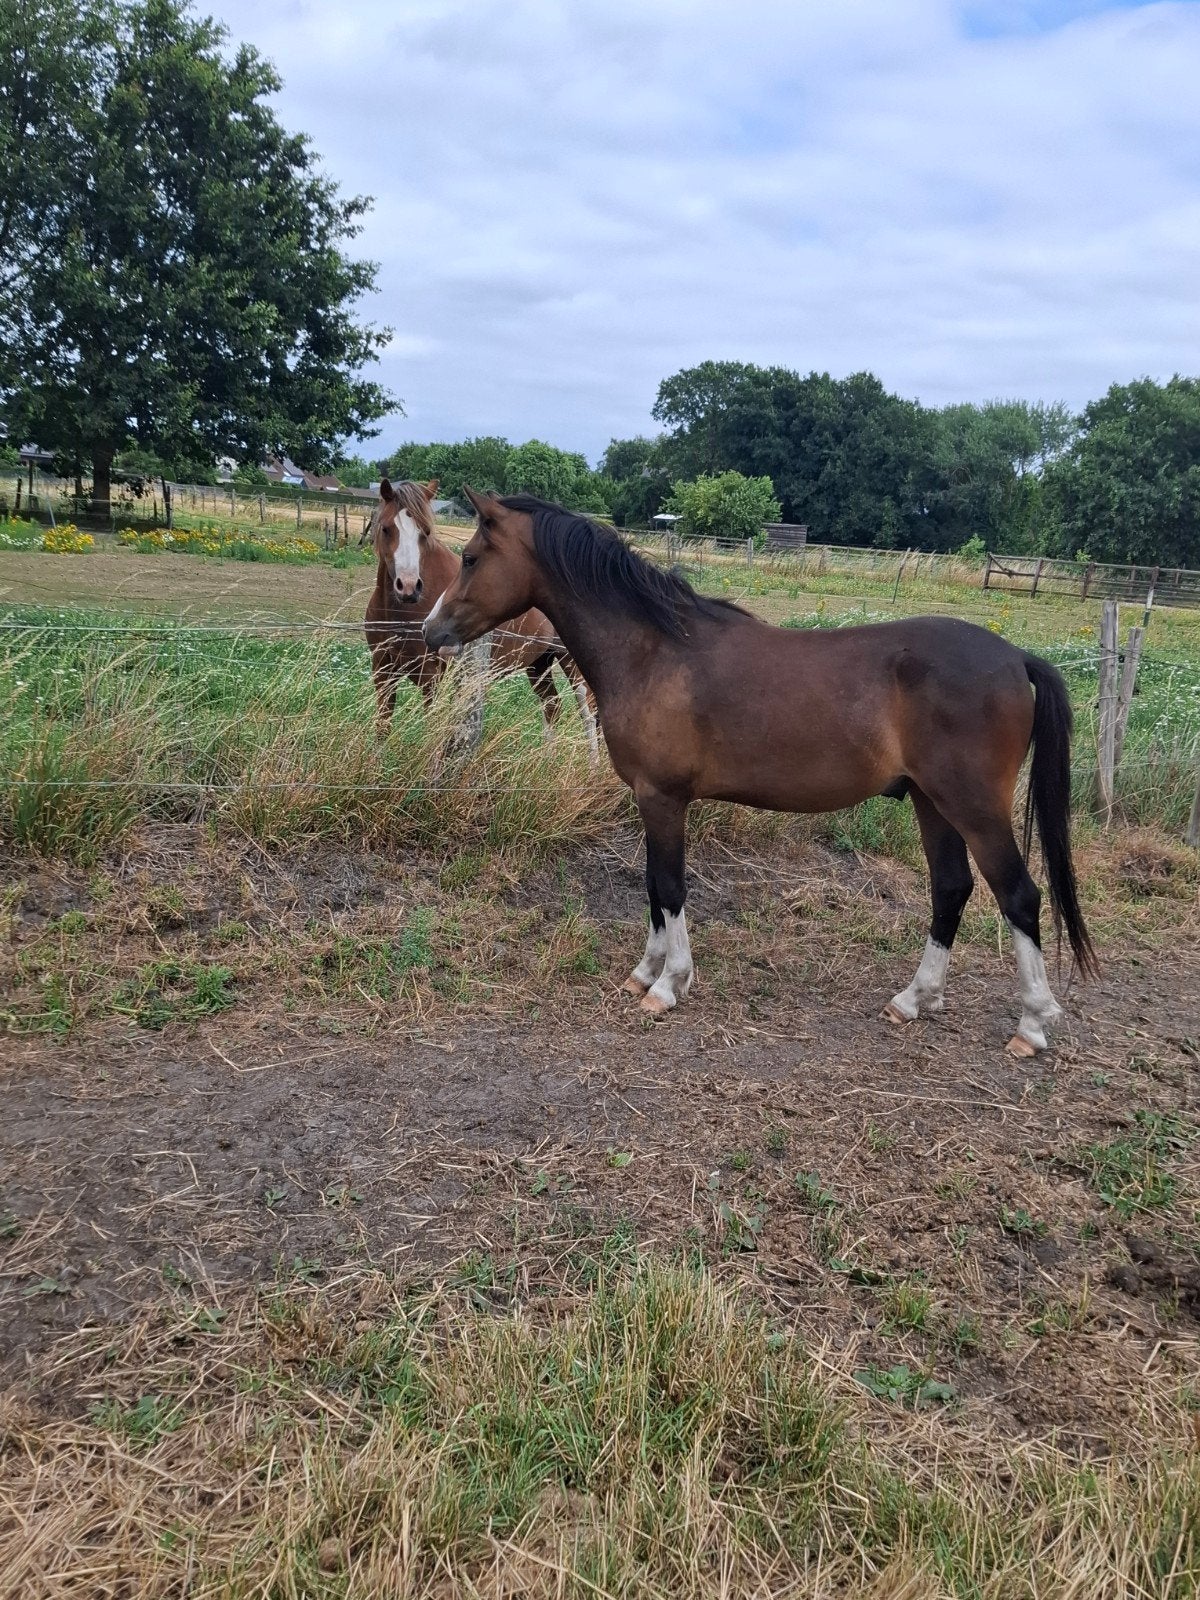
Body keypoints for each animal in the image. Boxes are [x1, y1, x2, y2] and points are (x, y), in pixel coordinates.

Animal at [362, 478, 598, 755]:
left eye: (426, 532)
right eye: (386, 529)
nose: (409, 587)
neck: (399, 613)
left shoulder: (432, 677)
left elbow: (433, 732)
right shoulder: (382, 669)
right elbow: (382, 726)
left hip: (571, 663)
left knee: (588, 714)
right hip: (539, 662)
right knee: (552, 705)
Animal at [424, 488, 1097, 1057]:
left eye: (471, 556)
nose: (432, 630)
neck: (654, 651)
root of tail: (1015, 658)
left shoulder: (662, 798)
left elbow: (669, 888)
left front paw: (667, 985)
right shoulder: (650, 799)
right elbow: (652, 889)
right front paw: (644, 971)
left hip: (974, 807)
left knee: (1019, 897)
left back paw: (1032, 1024)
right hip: (933, 803)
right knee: (951, 889)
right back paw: (913, 999)